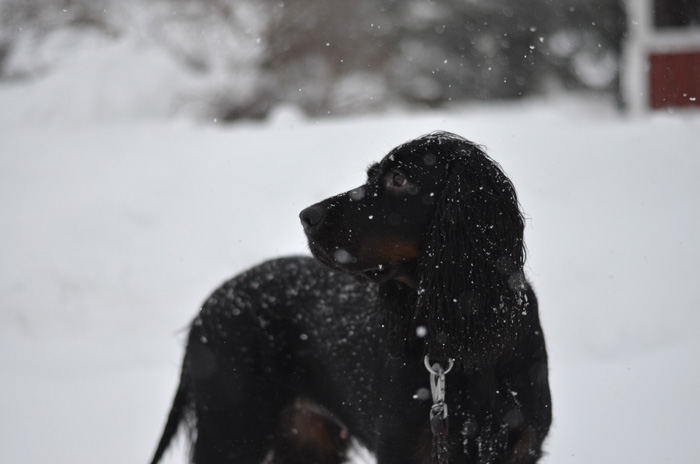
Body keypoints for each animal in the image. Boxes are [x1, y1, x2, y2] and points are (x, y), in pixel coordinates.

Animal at [152, 132, 552, 462]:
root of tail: (207, 307)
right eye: (372, 176)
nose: (306, 216)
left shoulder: (522, 447)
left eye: (399, 179)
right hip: (233, 428)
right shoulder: (403, 446)